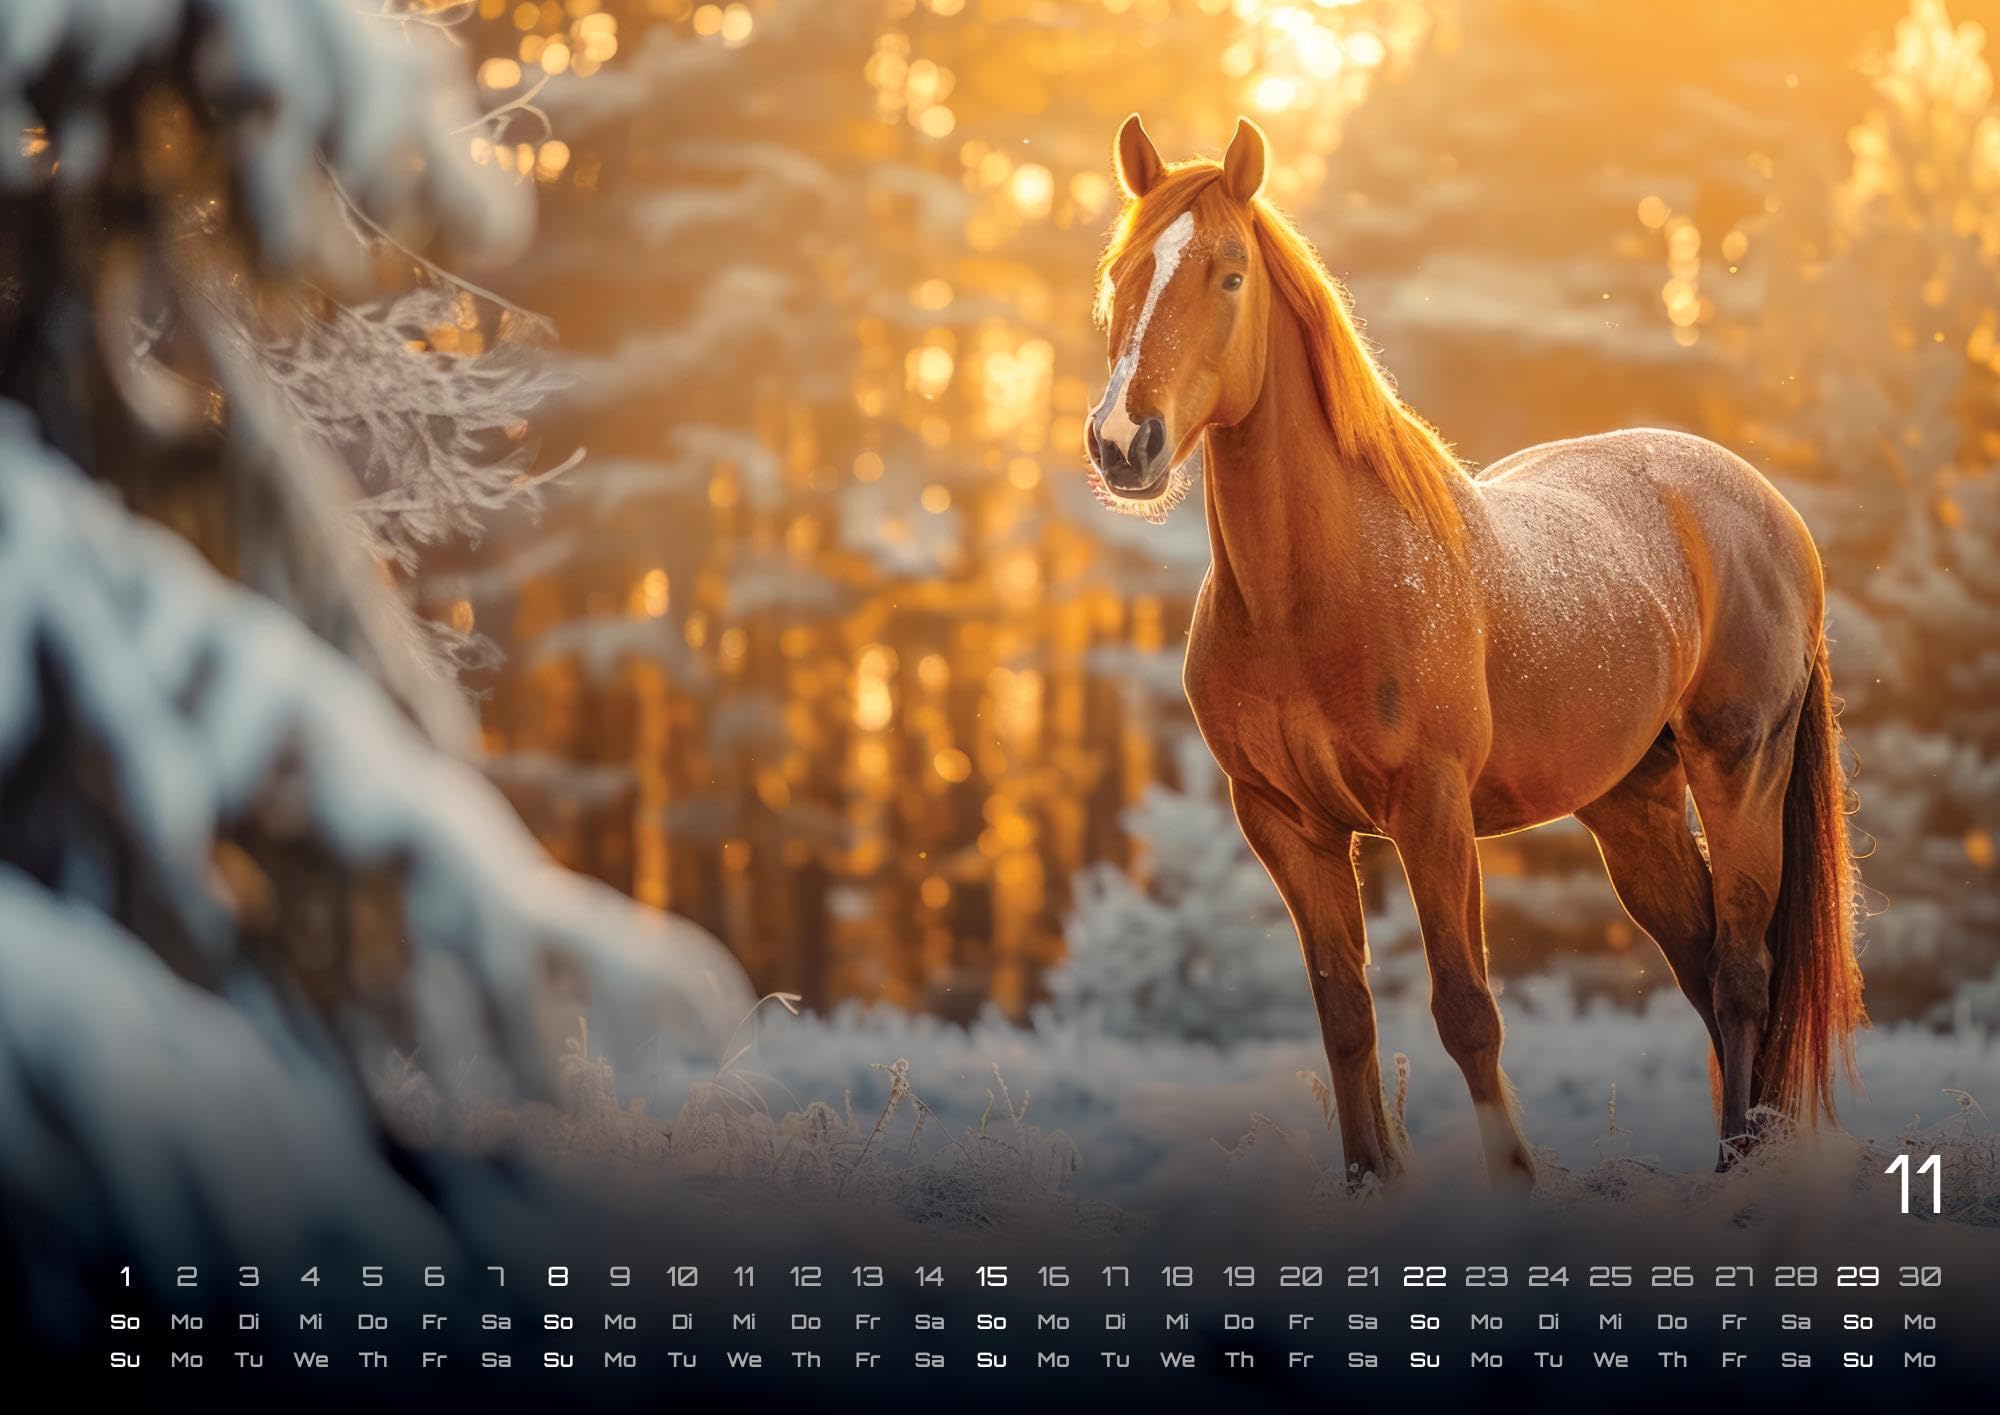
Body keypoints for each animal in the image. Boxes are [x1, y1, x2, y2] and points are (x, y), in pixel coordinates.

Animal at [1084, 114, 1866, 1186]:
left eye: (1230, 273)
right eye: (1120, 274)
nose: (1125, 443)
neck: (1309, 595)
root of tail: (1770, 509)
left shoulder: (1433, 811)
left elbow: (1466, 1013)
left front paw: (1515, 1182)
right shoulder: (1287, 825)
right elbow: (1345, 1016)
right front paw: (1370, 1184)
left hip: (1741, 770)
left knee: (1744, 973)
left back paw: (1736, 1172)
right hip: (1634, 808)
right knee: (1703, 969)